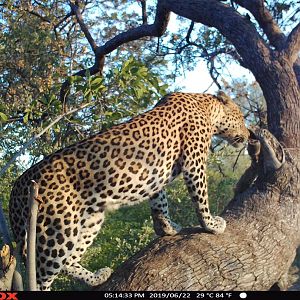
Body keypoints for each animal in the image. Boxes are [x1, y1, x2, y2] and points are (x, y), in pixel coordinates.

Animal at [8, 92, 248, 290]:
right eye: (242, 118)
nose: (249, 135)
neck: (207, 107)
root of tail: (18, 185)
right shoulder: (194, 162)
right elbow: (201, 198)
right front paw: (211, 224)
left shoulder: (156, 175)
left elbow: (160, 203)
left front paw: (167, 228)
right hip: (57, 230)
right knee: (41, 276)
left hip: (89, 219)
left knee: (69, 260)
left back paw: (97, 277)